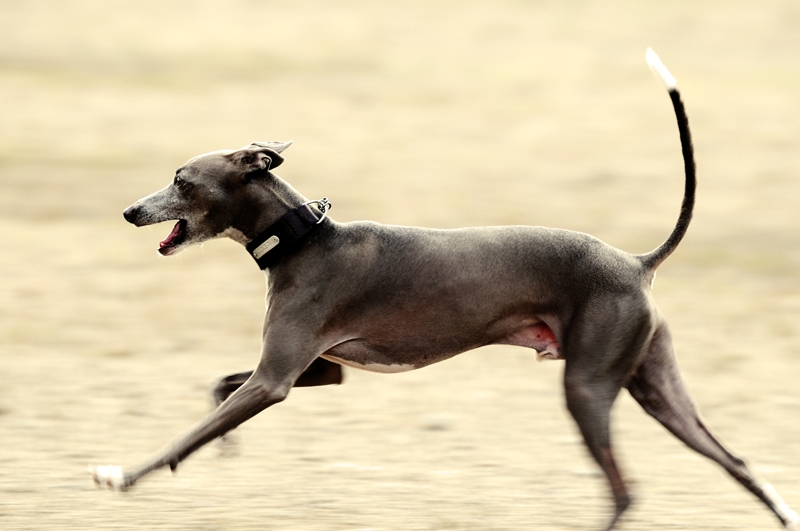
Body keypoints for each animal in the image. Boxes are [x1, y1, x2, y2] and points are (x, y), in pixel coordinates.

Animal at [91, 50, 798, 530]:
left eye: (181, 180)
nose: (128, 212)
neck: (304, 239)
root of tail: (635, 262)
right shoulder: (322, 369)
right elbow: (218, 393)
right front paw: (226, 447)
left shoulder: (276, 379)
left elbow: (187, 433)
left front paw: (122, 474)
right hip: (656, 386)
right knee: (734, 460)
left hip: (588, 383)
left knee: (625, 490)